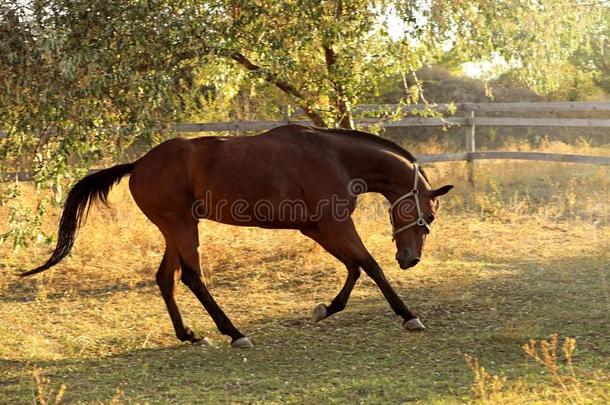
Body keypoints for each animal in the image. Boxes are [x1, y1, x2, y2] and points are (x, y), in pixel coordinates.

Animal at [21, 124, 452, 348]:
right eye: (427, 215)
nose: (410, 259)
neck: (335, 157)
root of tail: (138, 164)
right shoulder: (335, 224)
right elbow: (370, 265)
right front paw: (409, 316)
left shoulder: (318, 228)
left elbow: (354, 267)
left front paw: (326, 308)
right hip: (183, 226)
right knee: (191, 277)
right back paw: (234, 333)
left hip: (174, 229)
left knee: (165, 278)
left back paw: (190, 335)